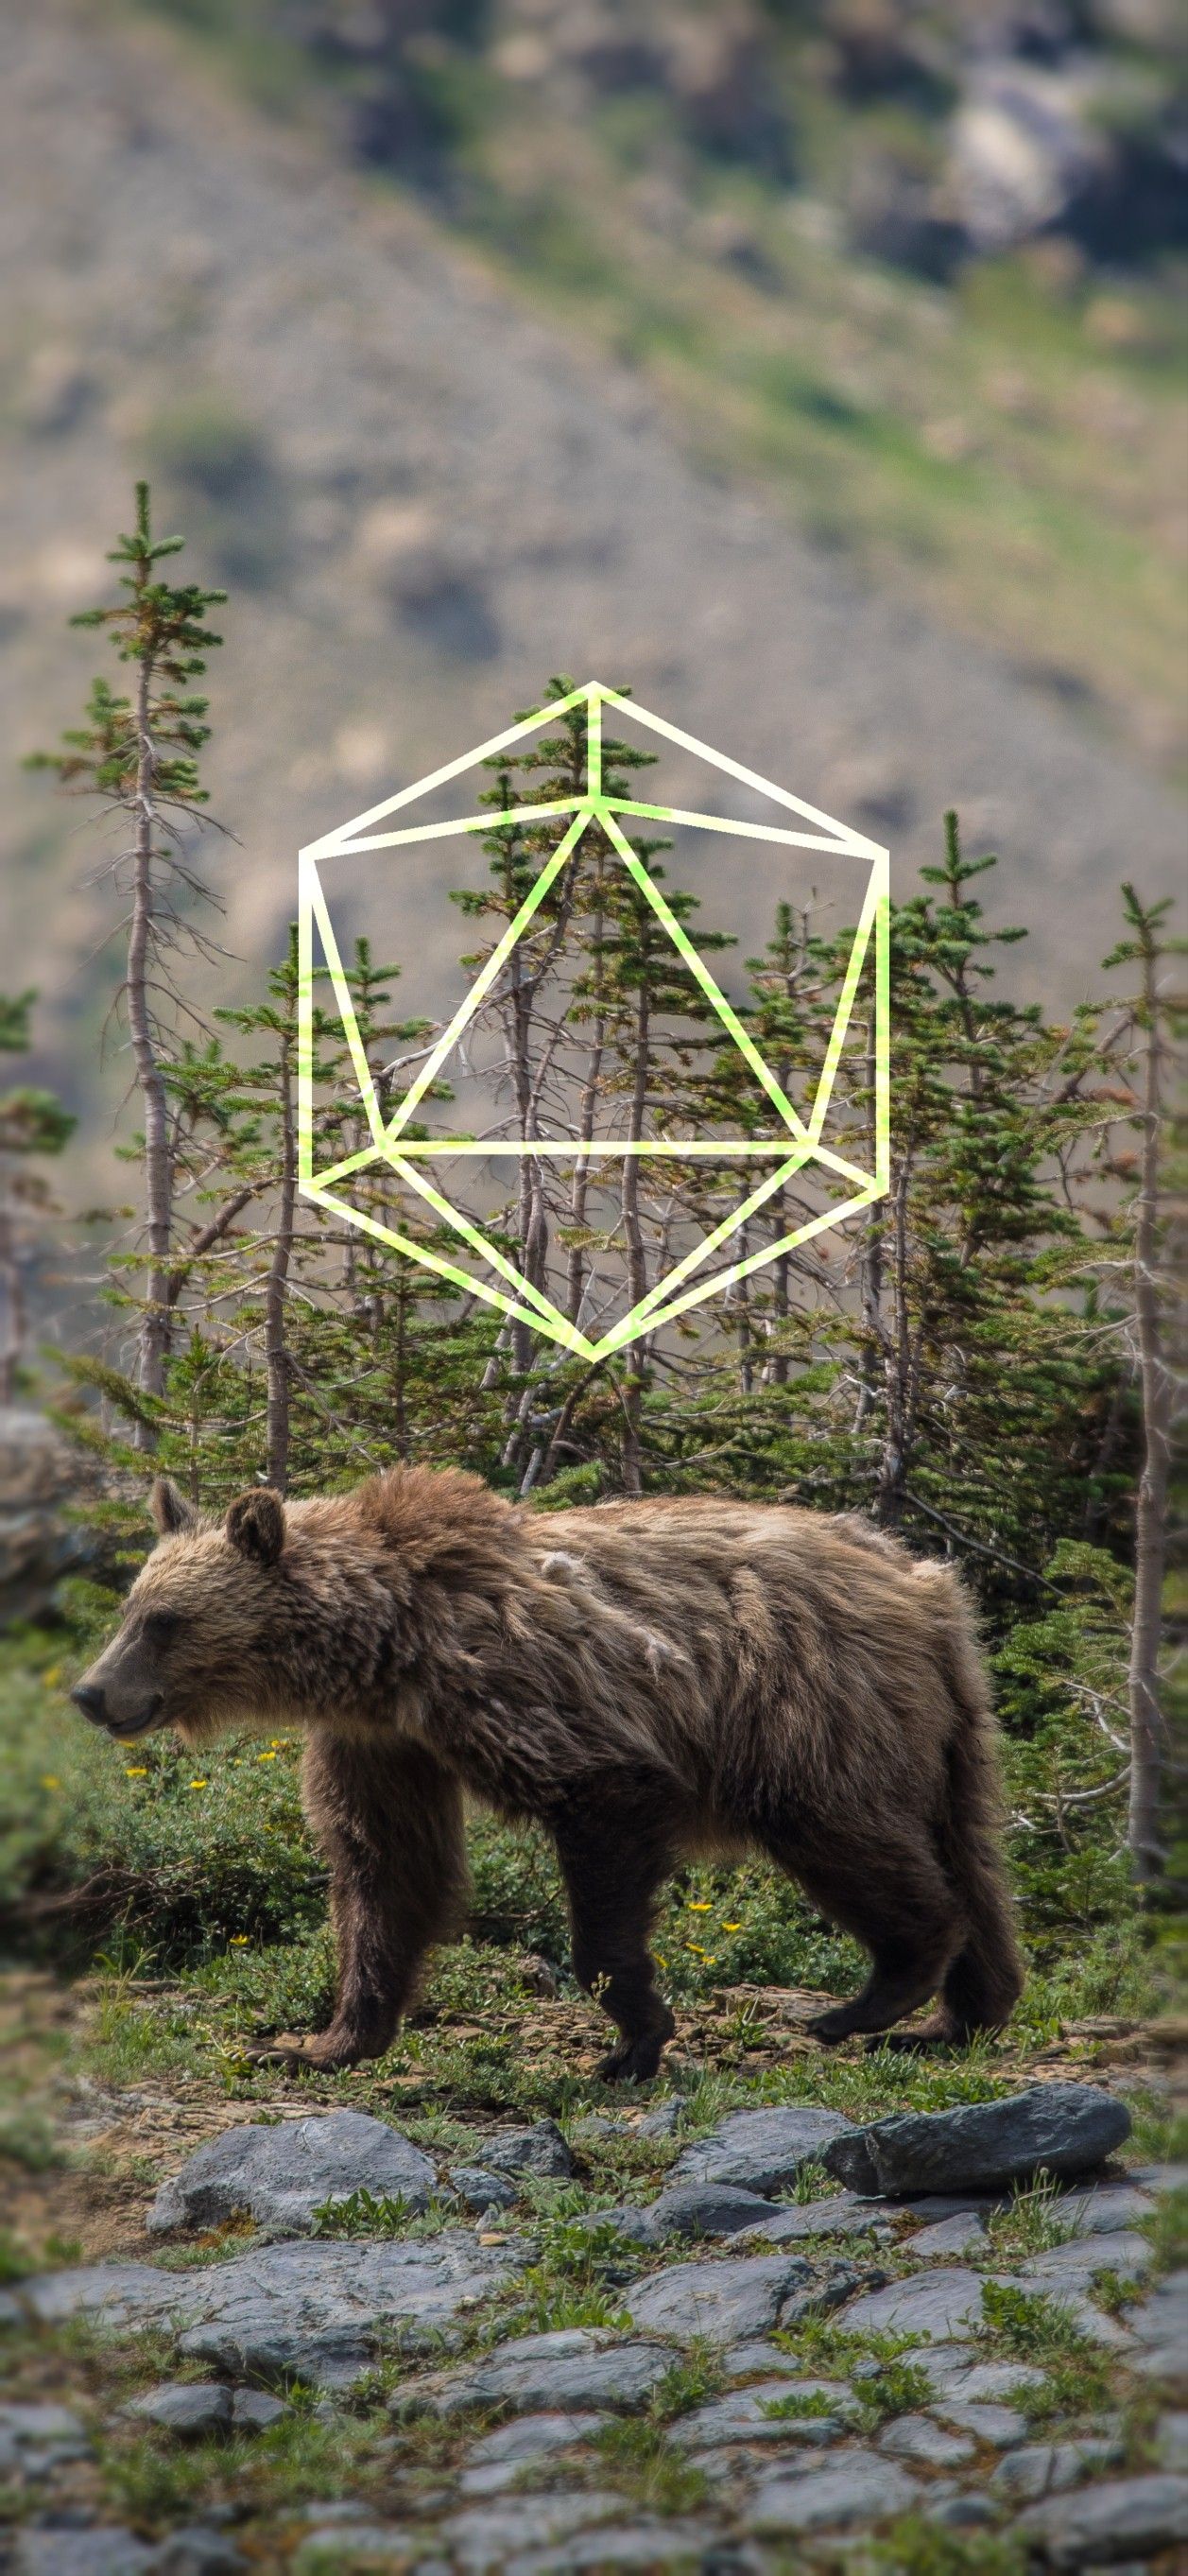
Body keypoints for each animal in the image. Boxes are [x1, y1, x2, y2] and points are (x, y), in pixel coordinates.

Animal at [70, 1465, 1025, 2078]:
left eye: (164, 1619)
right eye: (133, 1607)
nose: (91, 1691)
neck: (386, 1648)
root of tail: (923, 1581)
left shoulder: (523, 1693)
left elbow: (601, 1814)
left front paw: (632, 2039)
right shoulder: (384, 1741)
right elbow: (385, 1865)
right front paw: (323, 2040)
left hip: (805, 1704)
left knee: (839, 1831)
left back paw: (866, 1999)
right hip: (949, 1725)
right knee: (967, 1849)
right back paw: (959, 2014)